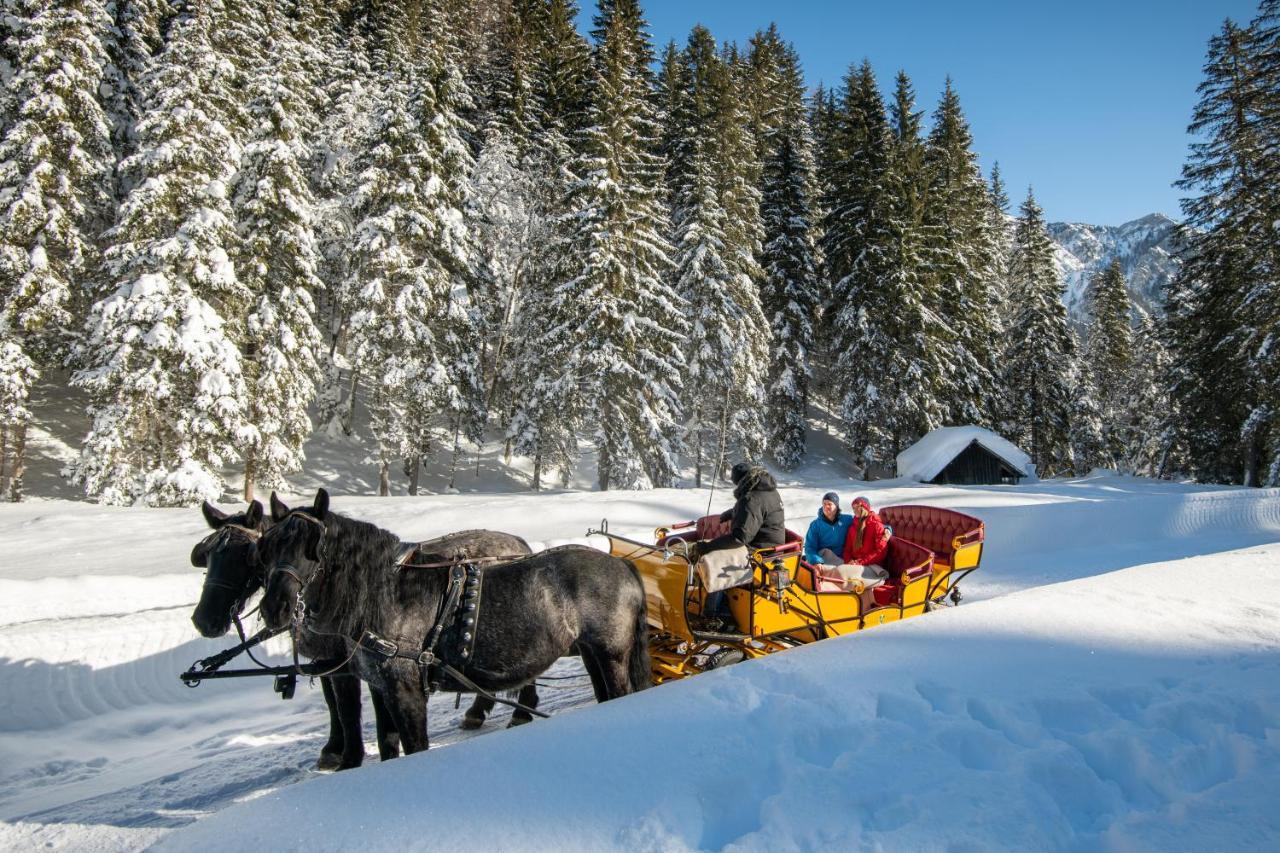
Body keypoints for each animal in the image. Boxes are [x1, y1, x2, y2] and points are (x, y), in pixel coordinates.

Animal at [261, 489, 655, 753]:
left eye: (314, 548)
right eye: (268, 545)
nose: (274, 607)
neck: (385, 595)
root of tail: (623, 565)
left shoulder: (405, 690)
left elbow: (413, 745)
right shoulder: (380, 688)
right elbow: (388, 746)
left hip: (613, 654)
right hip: (591, 652)